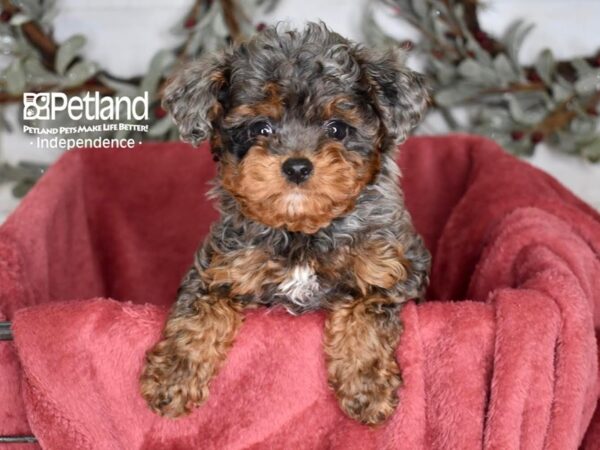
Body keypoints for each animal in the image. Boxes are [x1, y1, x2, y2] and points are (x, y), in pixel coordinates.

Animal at [141, 22, 432, 426]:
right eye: (260, 127)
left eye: (337, 128)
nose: (296, 166)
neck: (302, 231)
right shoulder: (217, 269)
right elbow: (199, 312)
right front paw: (173, 376)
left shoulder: (392, 271)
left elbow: (366, 310)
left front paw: (367, 386)